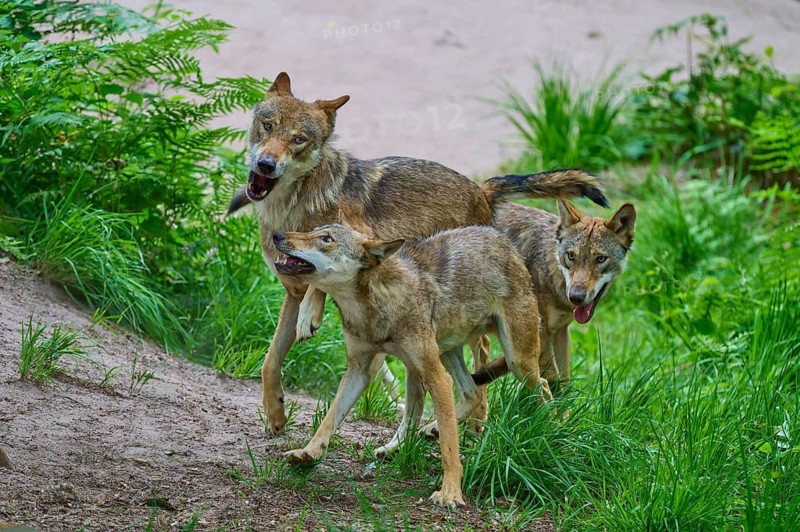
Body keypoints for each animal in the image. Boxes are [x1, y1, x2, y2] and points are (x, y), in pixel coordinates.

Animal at [228, 72, 608, 434]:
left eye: (299, 140)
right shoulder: (290, 292)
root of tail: (482, 191)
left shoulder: (367, 243)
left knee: (489, 360)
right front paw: (276, 414)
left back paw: (474, 425)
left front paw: (311, 314)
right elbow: (270, 361)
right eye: (268, 125)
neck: (294, 206)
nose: (266, 164)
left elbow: (322, 285)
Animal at [271, 223, 551, 507]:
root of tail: (505, 242)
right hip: (437, 358)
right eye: (314, 231)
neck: (372, 305)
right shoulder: (358, 372)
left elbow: (450, 448)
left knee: (543, 386)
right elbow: (329, 419)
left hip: (515, 361)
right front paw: (308, 453)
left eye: (327, 239)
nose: (277, 235)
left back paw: (550, 426)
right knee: (468, 393)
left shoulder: (436, 377)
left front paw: (450, 492)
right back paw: (420, 434)